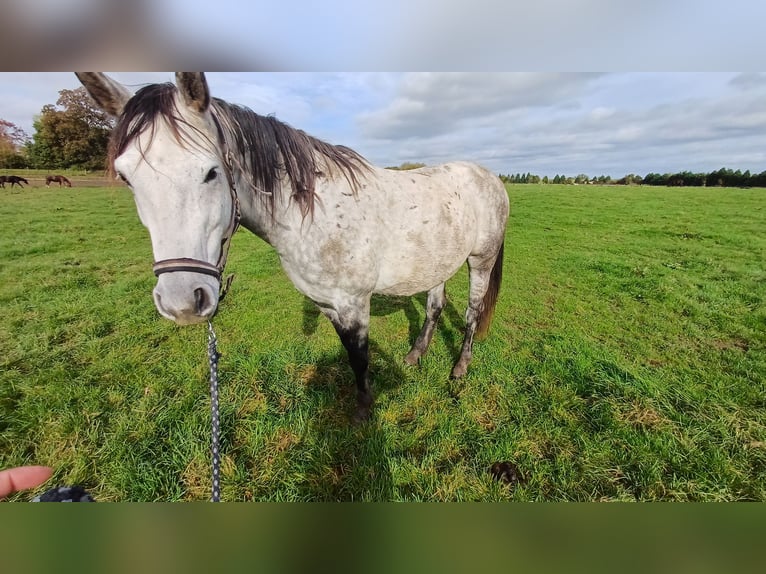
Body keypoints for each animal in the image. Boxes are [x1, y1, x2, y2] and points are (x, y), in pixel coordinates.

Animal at [76, 73, 510, 424]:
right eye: (126, 177)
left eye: (211, 172)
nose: (182, 301)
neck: (313, 210)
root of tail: (490, 177)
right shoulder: (328, 303)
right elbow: (351, 355)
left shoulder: (354, 302)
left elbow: (360, 357)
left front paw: (364, 412)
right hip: (438, 263)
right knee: (435, 308)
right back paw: (415, 355)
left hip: (480, 260)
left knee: (472, 312)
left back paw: (460, 368)